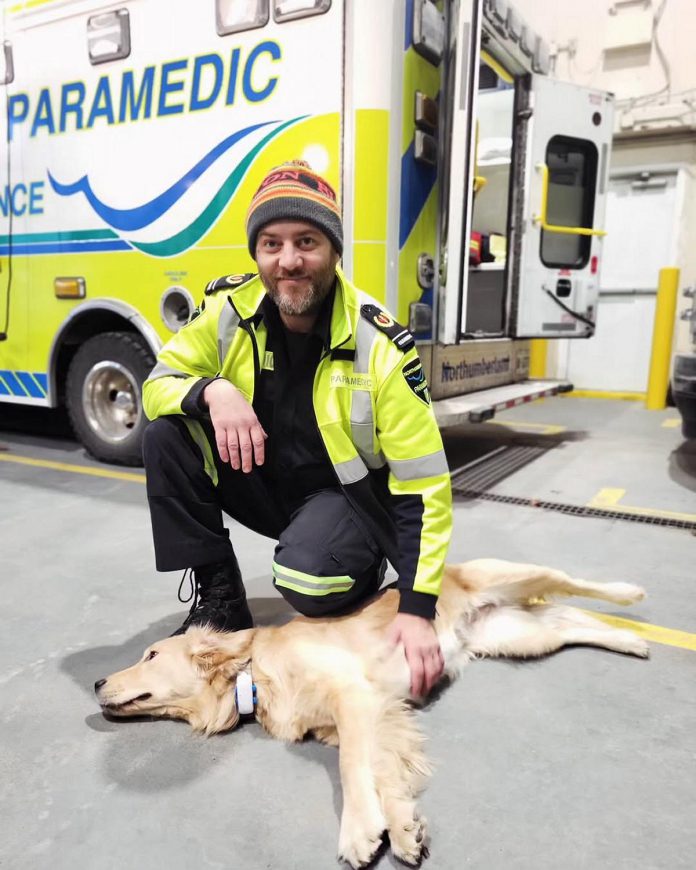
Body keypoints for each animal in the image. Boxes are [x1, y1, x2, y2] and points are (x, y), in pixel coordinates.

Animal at [92, 564, 648, 868]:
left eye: (150, 655)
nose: (97, 683)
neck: (255, 675)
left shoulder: (354, 698)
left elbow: (354, 771)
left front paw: (359, 831)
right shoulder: (372, 717)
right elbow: (384, 772)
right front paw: (403, 829)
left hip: (509, 575)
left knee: (573, 585)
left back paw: (630, 594)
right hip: (517, 637)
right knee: (570, 619)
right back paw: (631, 641)